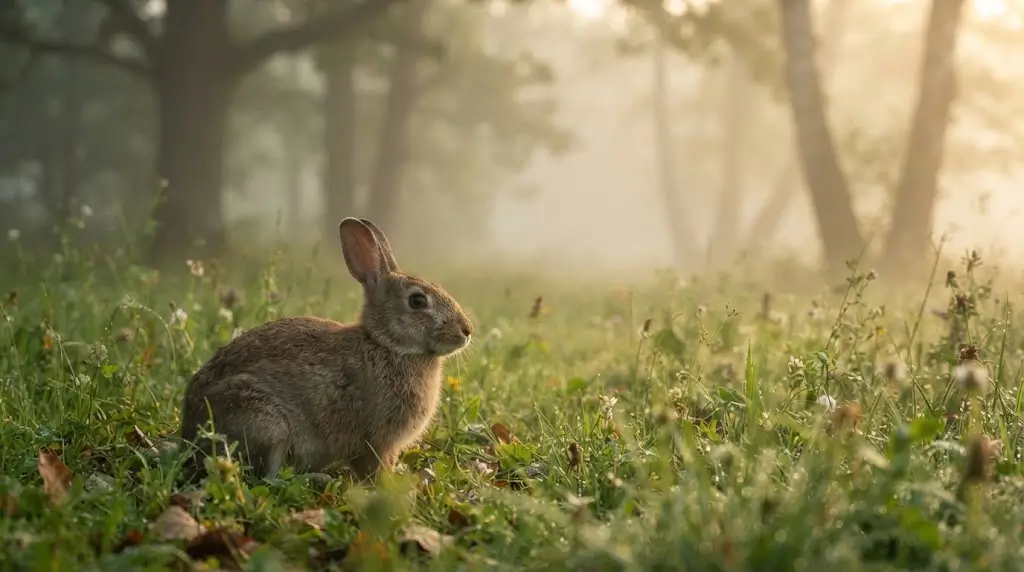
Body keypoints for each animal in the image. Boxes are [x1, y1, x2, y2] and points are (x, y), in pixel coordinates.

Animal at [178, 217, 474, 482]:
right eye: (417, 301)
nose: (467, 330)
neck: (388, 344)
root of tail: (190, 433)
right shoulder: (375, 440)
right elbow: (374, 468)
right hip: (265, 423)